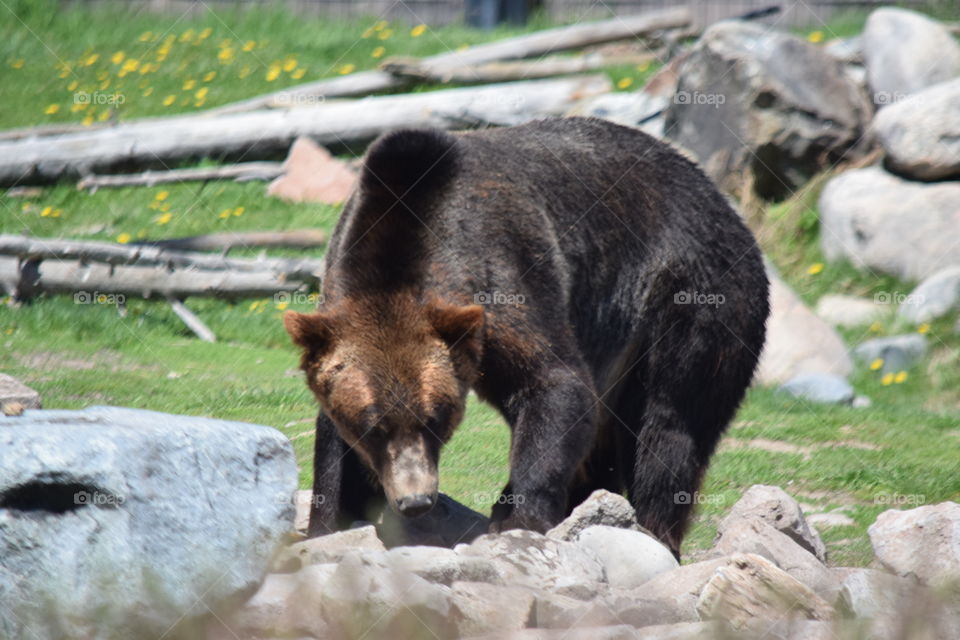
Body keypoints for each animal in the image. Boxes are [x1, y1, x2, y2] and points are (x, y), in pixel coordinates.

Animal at [284, 117, 769, 558]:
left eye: (435, 418)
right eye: (373, 426)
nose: (416, 500)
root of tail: (722, 200)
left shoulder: (504, 275)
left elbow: (554, 383)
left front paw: (520, 519)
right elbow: (334, 448)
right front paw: (328, 525)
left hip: (695, 296)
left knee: (668, 425)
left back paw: (651, 531)